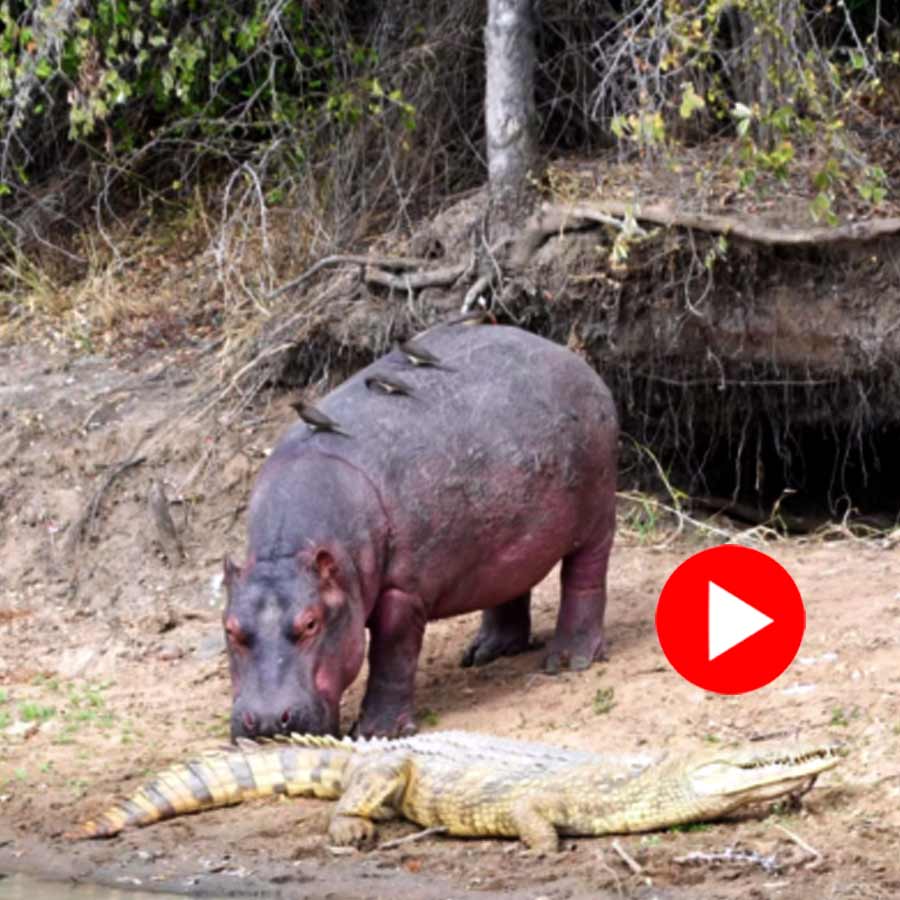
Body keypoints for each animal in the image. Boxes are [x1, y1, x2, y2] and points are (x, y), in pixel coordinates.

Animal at [223, 324, 618, 739]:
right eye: (230, 629)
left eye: (311, 622)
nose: (267, 722)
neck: (288, 555)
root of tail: (569, 356)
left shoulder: (403, 590)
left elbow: (392, 656)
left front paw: (376, 731)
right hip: (507, 533)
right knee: (510, 581)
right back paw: (485, 653)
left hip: (596, 515)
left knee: (585, 579)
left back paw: (569, 661)